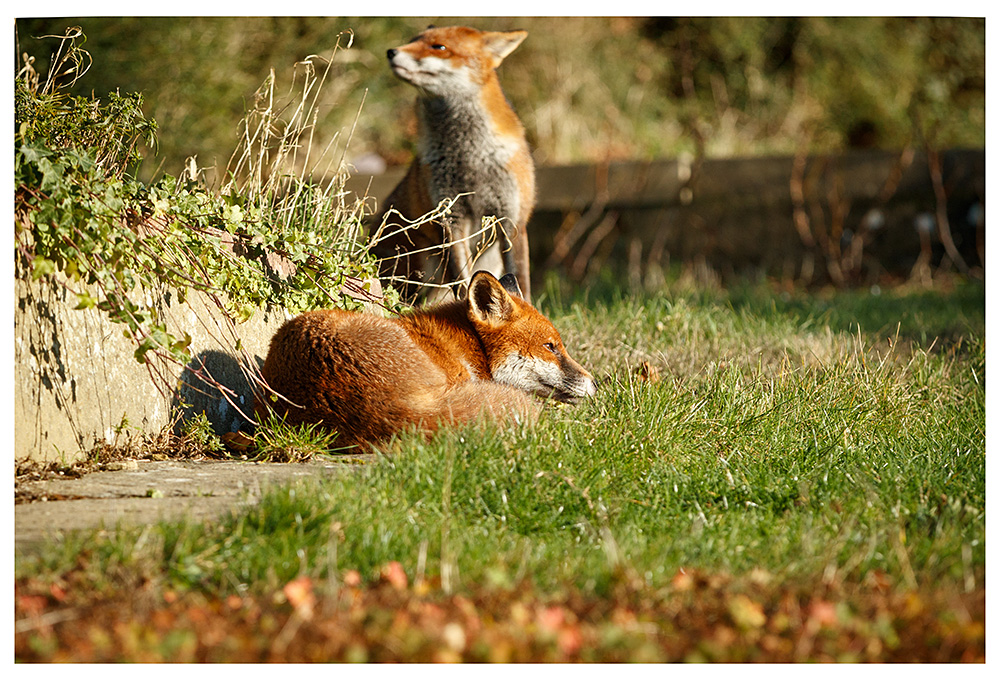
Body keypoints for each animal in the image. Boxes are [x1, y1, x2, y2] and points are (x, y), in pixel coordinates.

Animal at [371, 25, 536, 303]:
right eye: (413, 41)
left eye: (439, 47)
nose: (391, 52)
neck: (469, 158)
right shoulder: (450, 218)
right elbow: (463, 280)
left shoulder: (512, 220)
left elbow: (520, 282)